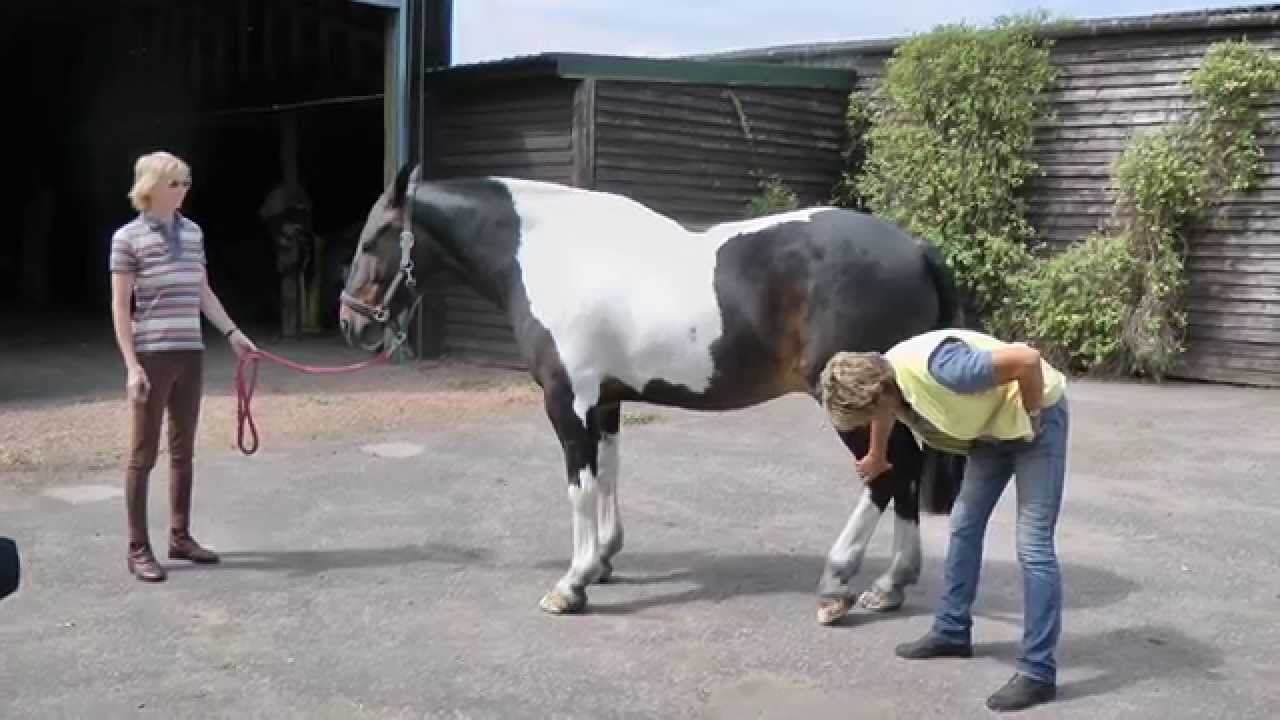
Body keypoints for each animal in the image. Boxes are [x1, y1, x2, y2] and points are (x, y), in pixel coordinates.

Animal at [339, 165, 965, 624]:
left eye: (372, 241)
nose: (352, 323)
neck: (552, 255)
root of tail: (916, 249)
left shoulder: (567, 402)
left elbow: (581, 488)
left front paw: (572, 583)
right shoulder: (607, 400)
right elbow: (609, 474)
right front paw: (603, 559)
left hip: (849, 403)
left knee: (883, 476)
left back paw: (837, 582)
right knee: (907, 472)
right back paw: (891, 583)